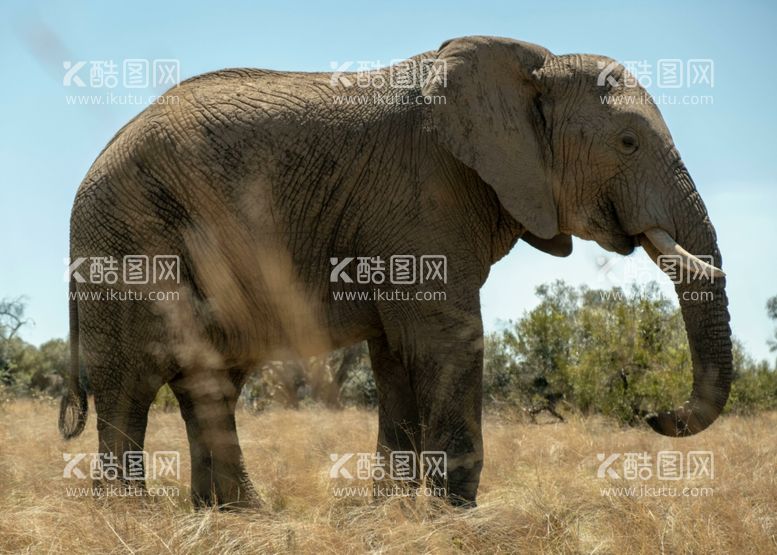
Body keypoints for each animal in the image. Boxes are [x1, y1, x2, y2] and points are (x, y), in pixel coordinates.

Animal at [59, 37, 728, 510]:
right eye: (628, 142)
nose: (653, 415)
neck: (526, 70)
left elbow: (397, 355)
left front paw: (393, 510)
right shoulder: (421, 197)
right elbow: (449, 339)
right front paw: (458, 515)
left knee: (210, 380)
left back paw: (234, 514)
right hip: (130, 243)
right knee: (132, 381)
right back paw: (130, 515)